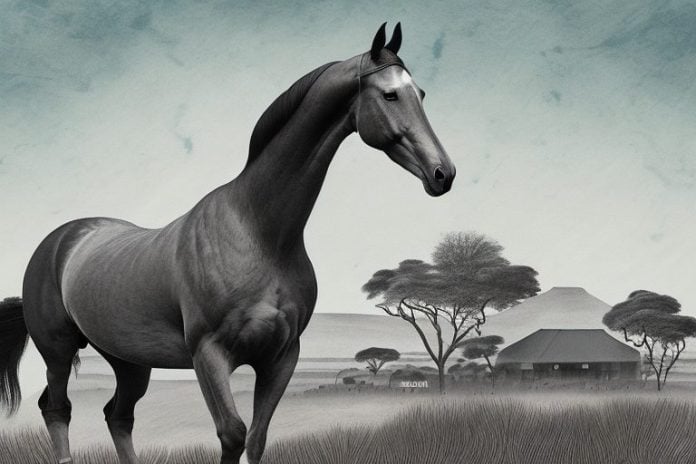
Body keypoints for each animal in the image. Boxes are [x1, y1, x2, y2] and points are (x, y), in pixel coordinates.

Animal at [0, 23, 455, 464]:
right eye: (390, 94)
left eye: (421, 94)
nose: (443, 173)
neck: (259, 233)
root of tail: (63, 240)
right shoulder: (210, 355)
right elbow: (232, 435)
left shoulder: (281, 357)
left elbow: (256, 439)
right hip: (58, 351)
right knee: (57, 408)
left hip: (129, 361)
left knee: (118, 415)